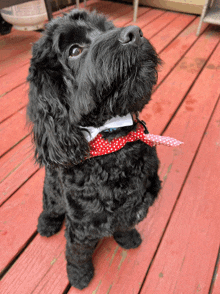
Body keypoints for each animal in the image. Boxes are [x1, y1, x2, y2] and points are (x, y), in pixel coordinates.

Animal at [27, 9, 162, 290]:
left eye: (106, 28)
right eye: (74, 50)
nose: (134, 33)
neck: (114, 145)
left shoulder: (129, 209)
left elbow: (124, 225)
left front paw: (128, 239)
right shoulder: (82, 226)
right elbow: (77, 253)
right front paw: (79, 277)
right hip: (51, 190)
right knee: (49, 207)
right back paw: (46, 224)